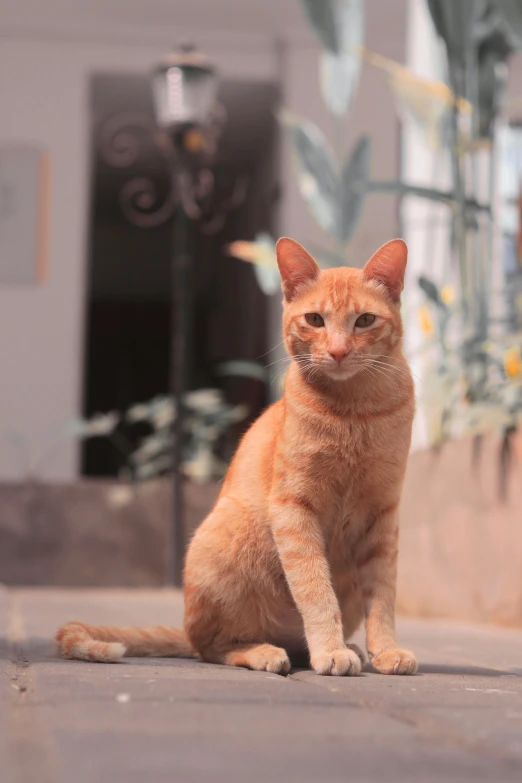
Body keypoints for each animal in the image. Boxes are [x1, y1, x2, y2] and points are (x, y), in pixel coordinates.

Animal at [55, 236, 414, 676]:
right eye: (315, 319)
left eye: (364, 321)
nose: (338, 351)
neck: (355, 410)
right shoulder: (293, 508)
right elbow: (314, 587)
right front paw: (330, 650)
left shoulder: (382, 514)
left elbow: (382, 595)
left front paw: (385, 650)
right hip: (227, 537)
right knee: (213, 646)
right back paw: (265, 652)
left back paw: (348, 647)